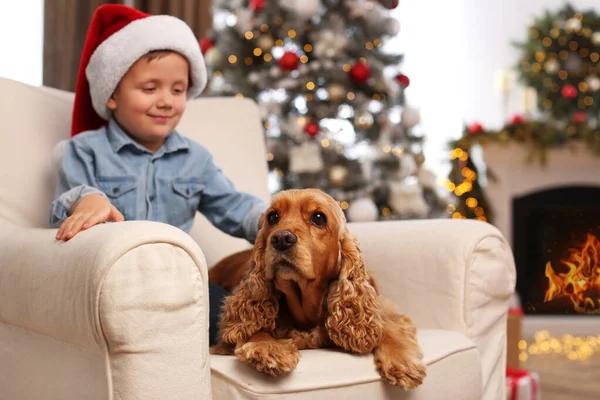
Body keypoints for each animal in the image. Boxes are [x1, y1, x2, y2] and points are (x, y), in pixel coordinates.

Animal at [209, 189, 424, 390]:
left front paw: (402, 361)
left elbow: (389, 327)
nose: (281, 238)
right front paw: (268, 348)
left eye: (318, 218)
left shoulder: (383, 309)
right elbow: (252, 329)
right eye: (273, 217)